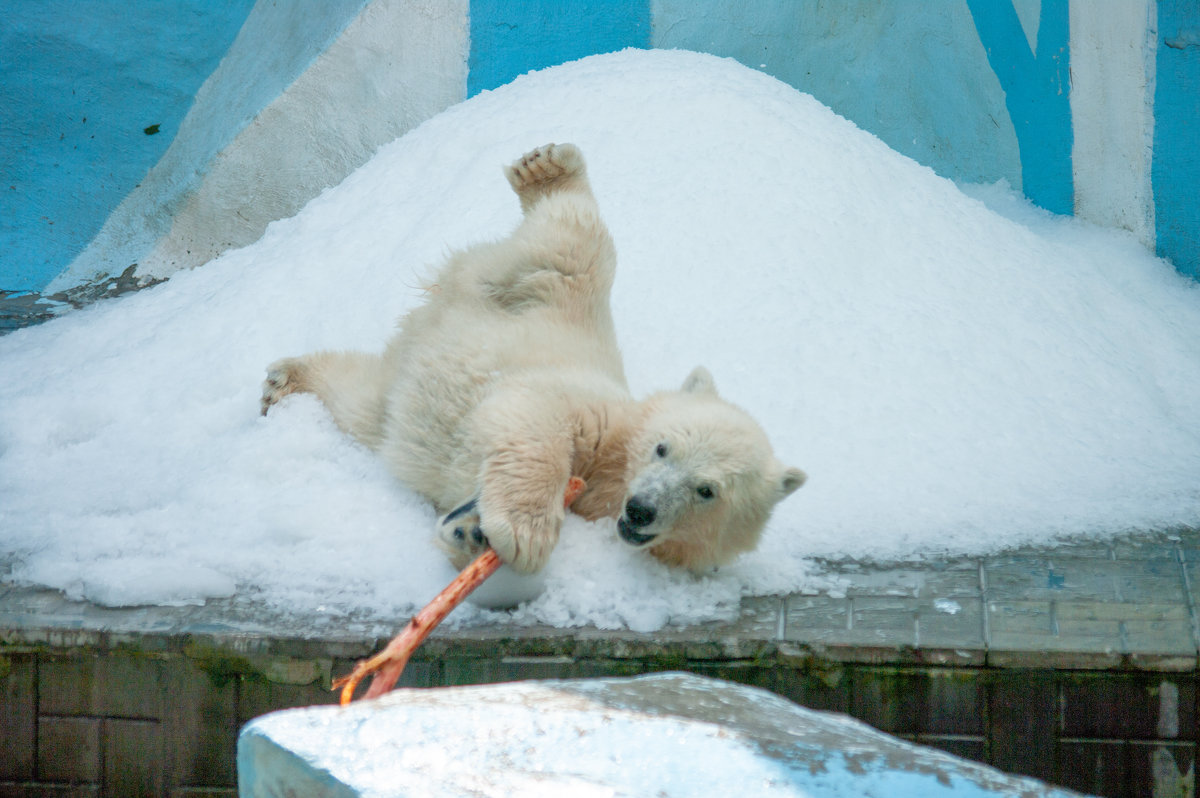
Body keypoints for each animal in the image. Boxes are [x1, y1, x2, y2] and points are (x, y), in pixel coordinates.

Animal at [262, 143, 806, 573]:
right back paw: (548, 170)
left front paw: (470, 530)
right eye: (662, 448)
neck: (613, 479)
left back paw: (288, 382)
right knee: (576, 240)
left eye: (707, 490)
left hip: (396, 393)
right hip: (552, 288)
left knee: (361, 401)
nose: (642, 509)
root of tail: (445, 297)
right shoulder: (590, 408)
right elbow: (536, 415)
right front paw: (525, 532)